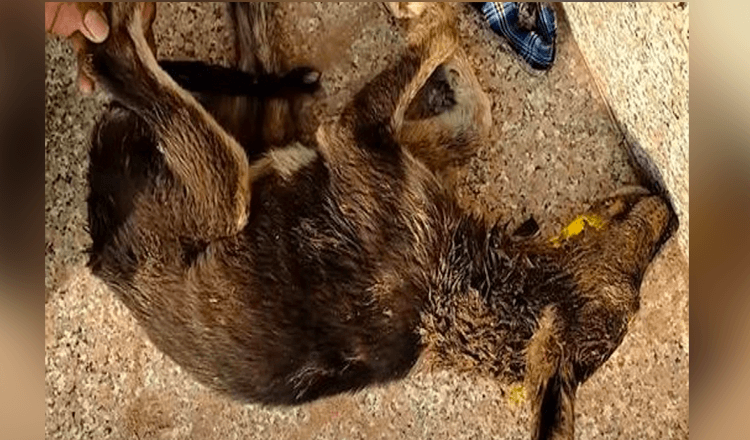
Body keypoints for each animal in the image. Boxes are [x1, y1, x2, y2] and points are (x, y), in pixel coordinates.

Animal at [83, 1, 680, 438]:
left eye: (630, 299)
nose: (668, 210)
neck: (472, 288)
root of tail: (103, 259)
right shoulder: (393, 149)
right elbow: (472, 112)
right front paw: (442, 59)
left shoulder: (352, 138)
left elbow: (439, 40)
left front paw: (422, 17)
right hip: (256, 141)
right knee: (254, 69)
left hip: (222, 190)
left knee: (131, 67)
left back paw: (125, 30)